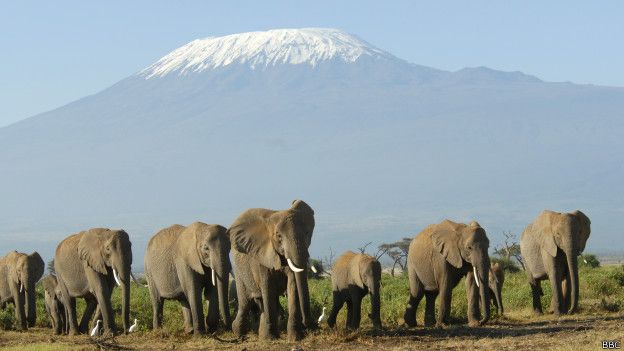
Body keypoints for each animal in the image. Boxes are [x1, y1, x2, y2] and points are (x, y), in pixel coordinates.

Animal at [230, 201, 316, 340]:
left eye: (307, 233)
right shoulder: (262, 255)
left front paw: (295, 338)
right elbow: (267, 286)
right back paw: (239, 333)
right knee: (245, 302)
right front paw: (270, 339)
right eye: (279, 236)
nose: (308, 324)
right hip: (239, 269)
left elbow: (292, 286)